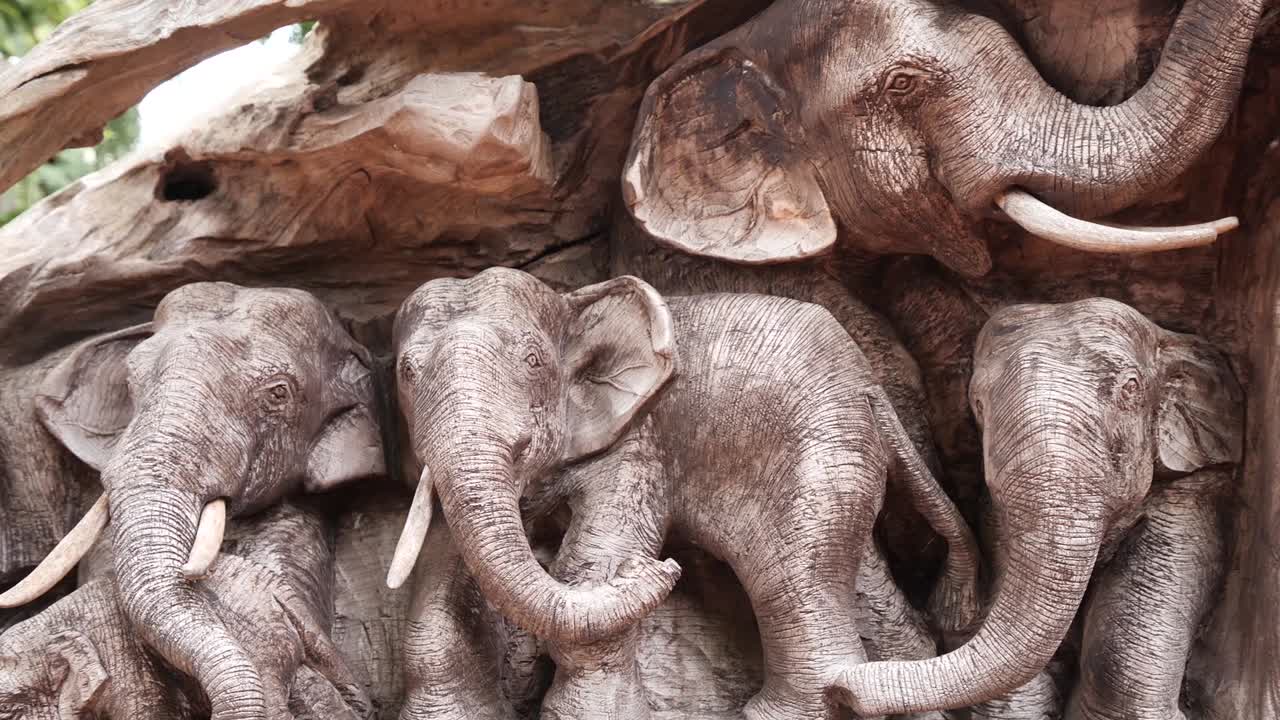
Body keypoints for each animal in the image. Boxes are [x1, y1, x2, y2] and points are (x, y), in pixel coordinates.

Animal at [387, 267, 979, 719]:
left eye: (533, 361)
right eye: (406, 371)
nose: (663, 568)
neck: (573, 300)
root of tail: (870, 386)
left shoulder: (638, 440)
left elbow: (586, 565)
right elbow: (443, 565)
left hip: (820, 454)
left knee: (793, 581)